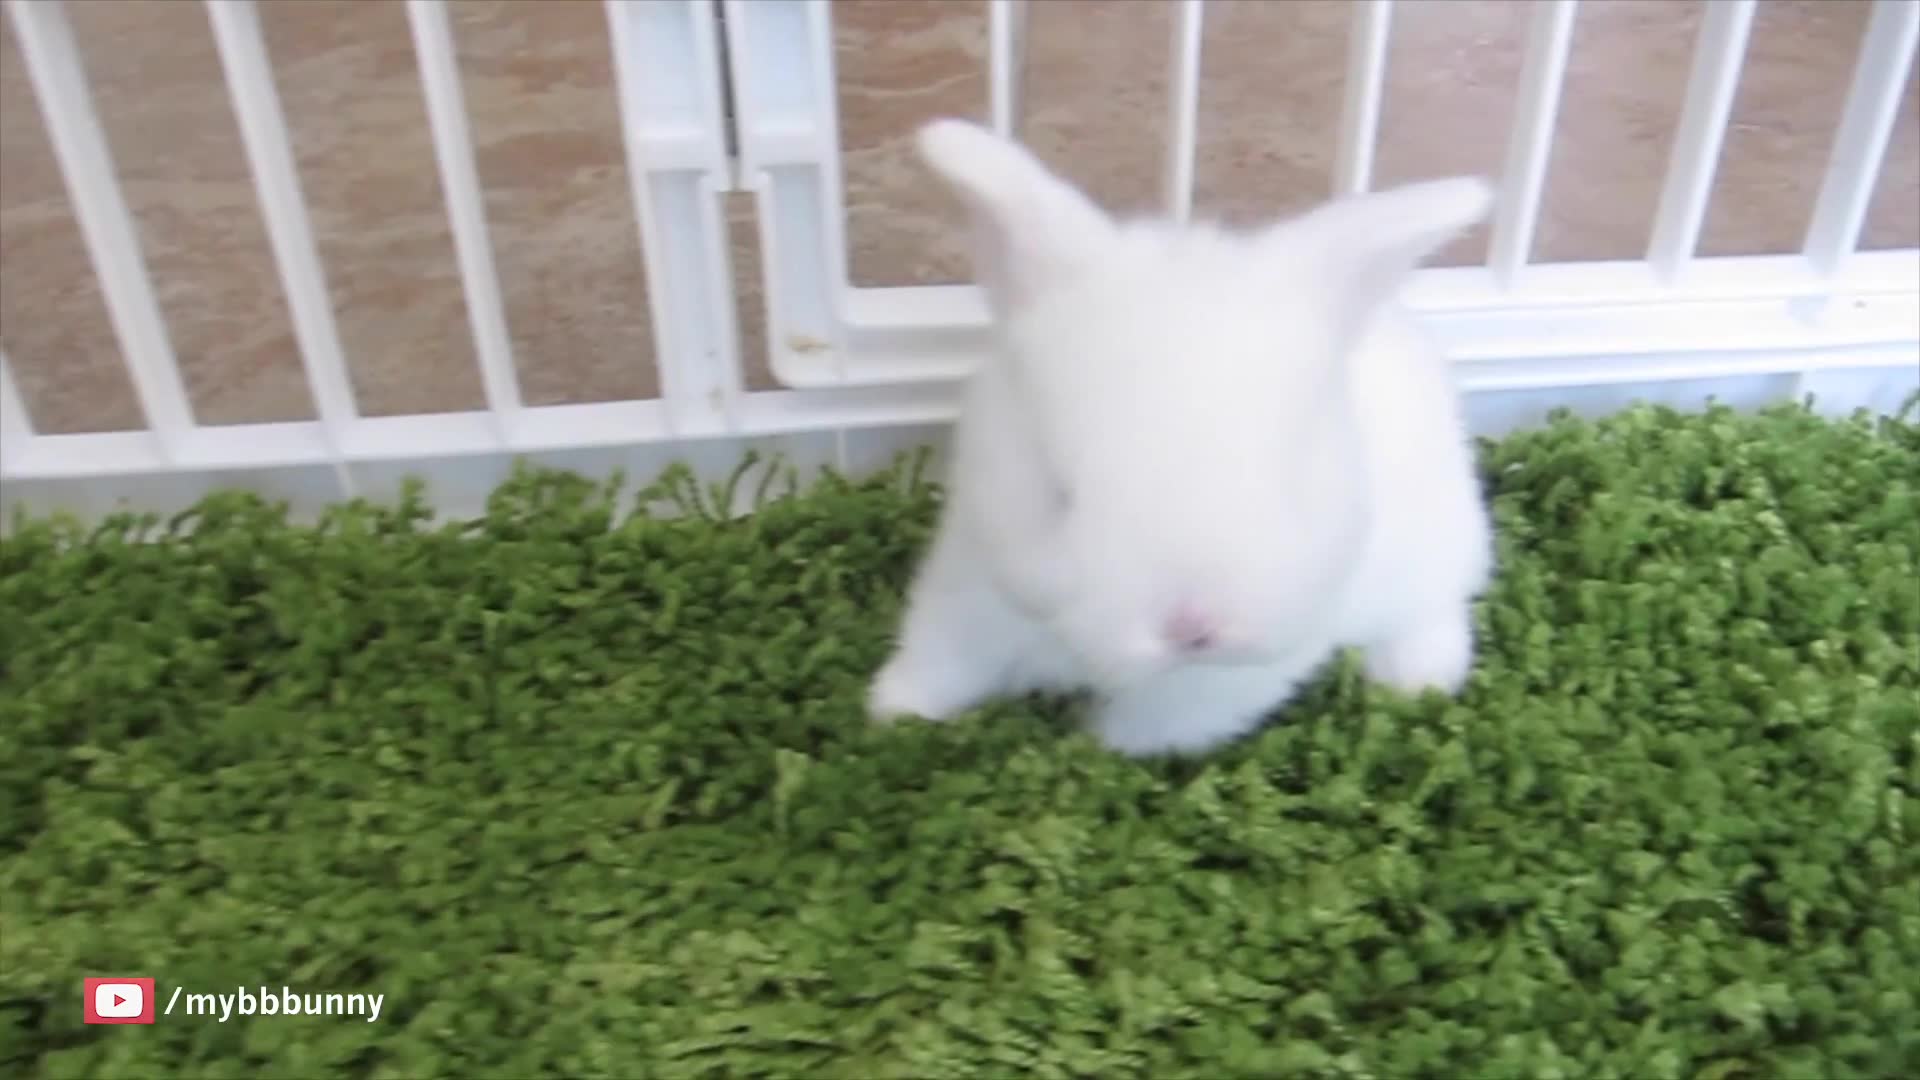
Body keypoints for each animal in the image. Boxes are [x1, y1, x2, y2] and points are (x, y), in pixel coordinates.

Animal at [871, 117, 1497, 753]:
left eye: (1291, 485)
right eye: (1061, 494)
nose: (1193, 628)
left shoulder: (1223, 682)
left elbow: (1150, 727)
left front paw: (1093, 747)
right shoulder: (966, 590)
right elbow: (940, 664)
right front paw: (892, 712)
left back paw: (1415, 680)